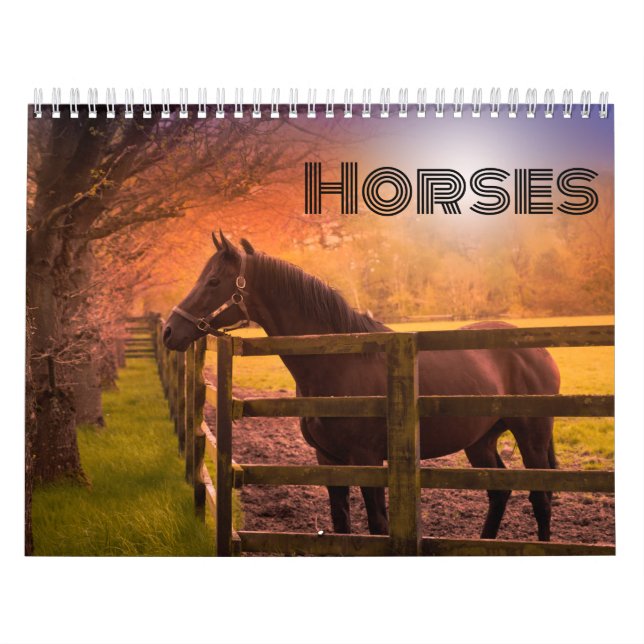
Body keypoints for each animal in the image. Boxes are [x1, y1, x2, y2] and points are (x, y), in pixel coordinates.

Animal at [163, 232, 561, 541]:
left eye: (214, 282)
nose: (170, 330)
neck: (340, 360)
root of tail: (537, 350)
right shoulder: (328, 459)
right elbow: (342, 525)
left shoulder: (368, 459)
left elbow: (377, 525)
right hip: (480, 440)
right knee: (498, 491)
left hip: (532, 437)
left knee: (541, 499)